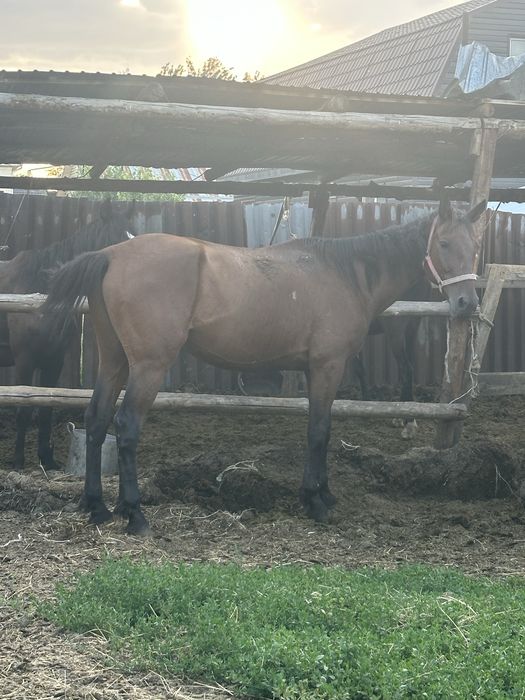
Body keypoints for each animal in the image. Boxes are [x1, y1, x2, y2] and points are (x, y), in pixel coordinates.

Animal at [0, 198, 135, 470]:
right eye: (116, 240)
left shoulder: (54, 361)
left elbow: (46, 410)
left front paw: (46, 459)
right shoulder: (24, 361)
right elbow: (23, 410)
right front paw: (18, 461)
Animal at [42, 197, 486, 535]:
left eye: (474, 246)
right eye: (444, 242)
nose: (467, 303)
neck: (344, 273)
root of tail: (110, 254)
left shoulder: (317, 369)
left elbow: (322, 429)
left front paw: (323, 494)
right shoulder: (328, 366)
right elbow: (318, 432)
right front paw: (314, 501)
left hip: (114, 361)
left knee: (97, 420)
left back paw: (97, 506)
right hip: (148, 367)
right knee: (126, 426)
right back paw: (135, 515)